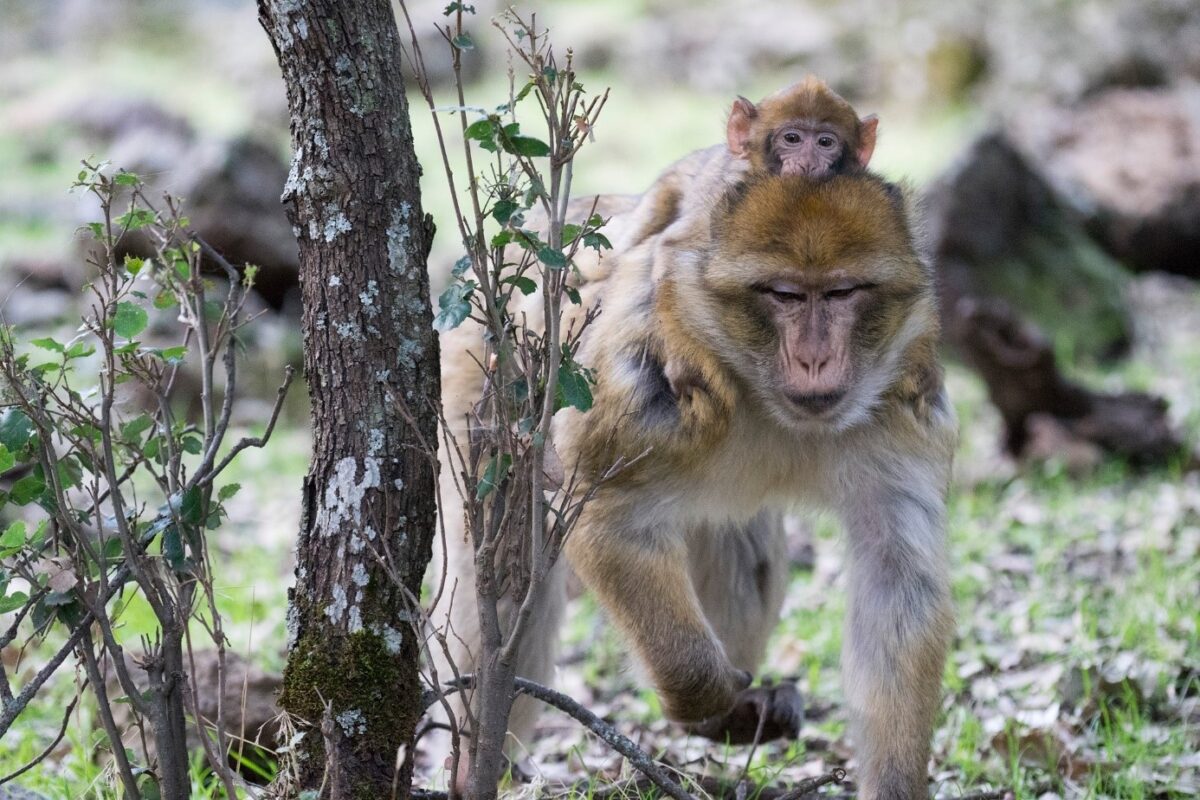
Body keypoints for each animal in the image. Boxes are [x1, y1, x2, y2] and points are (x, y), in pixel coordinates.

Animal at [431, 171, 957, 800]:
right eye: (784, 295)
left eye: (843, 293)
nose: (814, 358)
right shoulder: (648, 389)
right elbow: (600, 511)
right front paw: (704, 693)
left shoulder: (904, 406)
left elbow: (897, 578)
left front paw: (896, 785)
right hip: (481, 383)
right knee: (504, 566)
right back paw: (474, 764)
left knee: (743, 547)